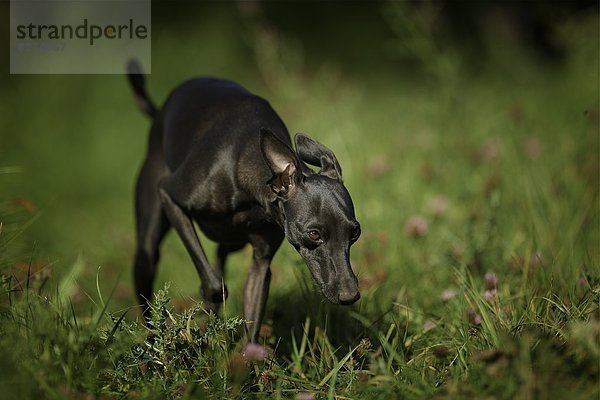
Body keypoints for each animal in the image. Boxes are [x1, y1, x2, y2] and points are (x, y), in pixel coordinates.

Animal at [126, 61, 360, 340]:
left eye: (355, 233)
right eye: (314, 234)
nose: (350, 296)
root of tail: (159, 112)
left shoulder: (261, 261)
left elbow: (252, 316)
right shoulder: (170, 196)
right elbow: (214, 286)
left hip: (233, 239)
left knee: (221, 252)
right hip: (149, 246)